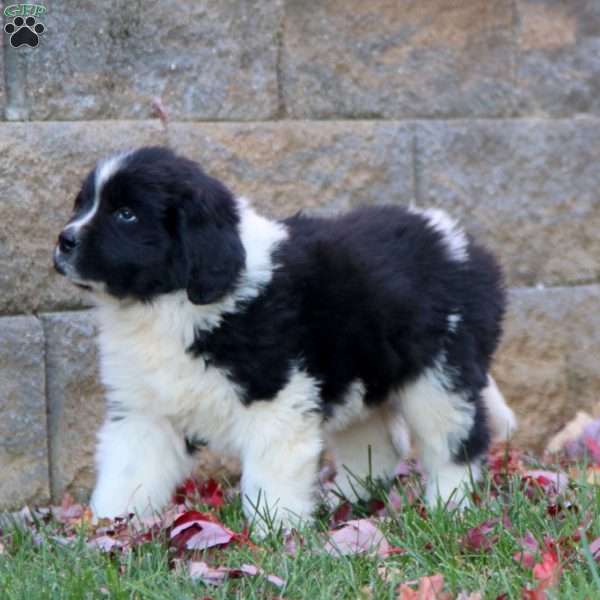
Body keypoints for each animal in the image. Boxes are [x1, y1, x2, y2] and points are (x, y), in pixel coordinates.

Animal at [55, 148, 516, 532]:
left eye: (126, 215)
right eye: (82, 203)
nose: (64, 240)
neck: (166, 304)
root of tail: (467, 249)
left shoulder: (276, 402)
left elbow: (270, 476)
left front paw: (277, 535)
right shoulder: (143, 411)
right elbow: (128, 470)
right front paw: (107, 529)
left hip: (440, 373)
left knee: (456, 440)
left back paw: (449, 506)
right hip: (358, 377)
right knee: (377, 447)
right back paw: (341, 500)